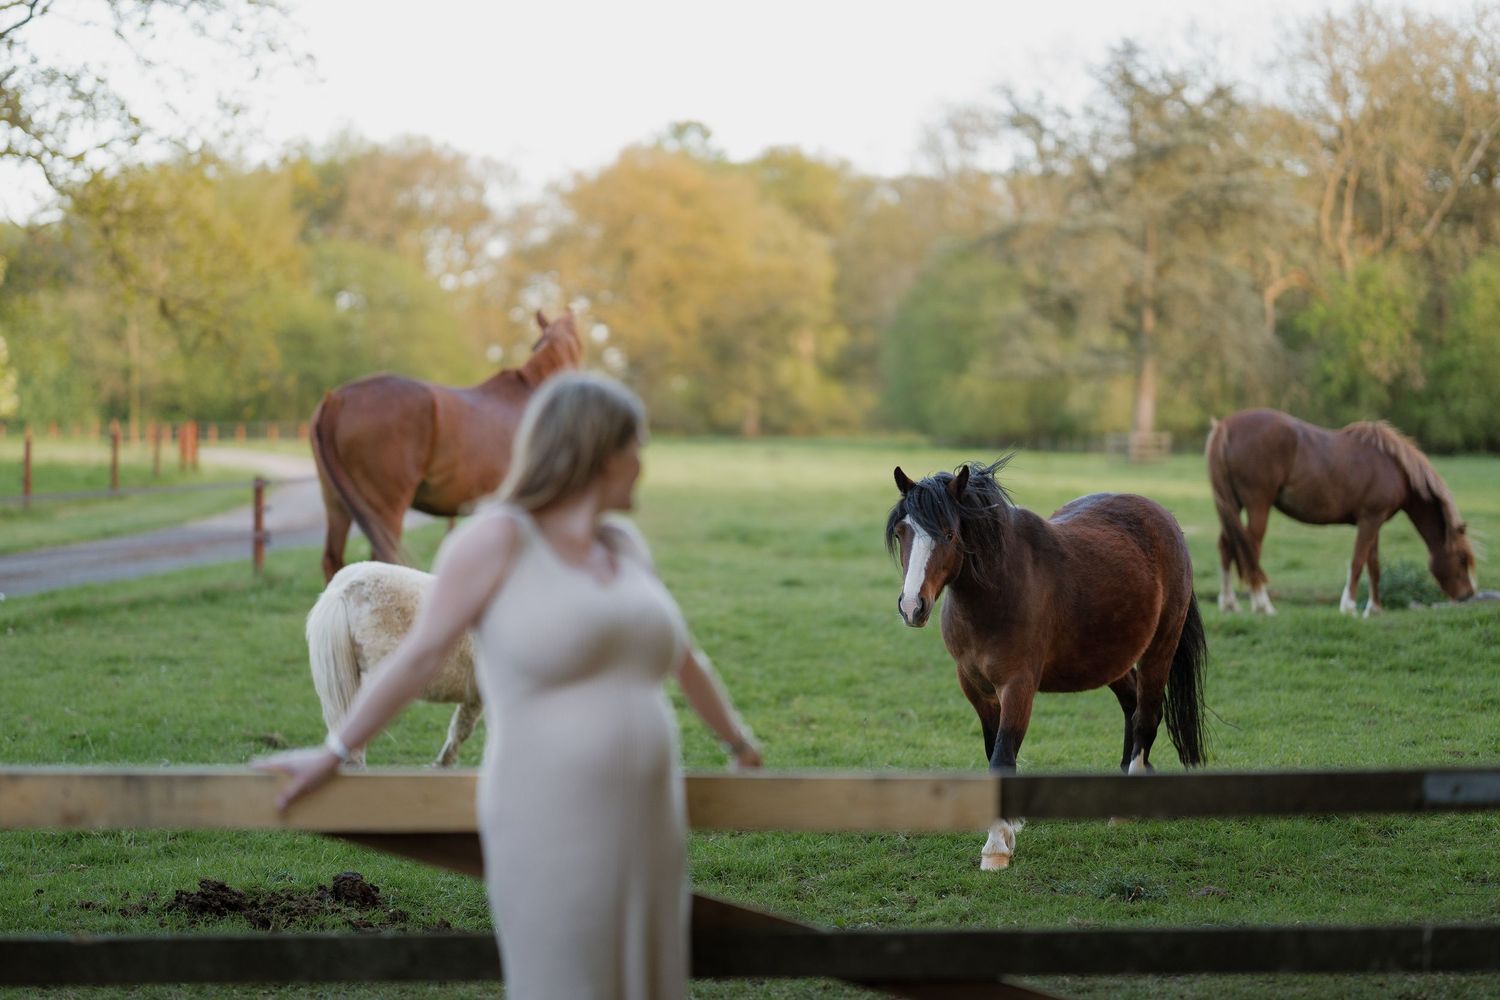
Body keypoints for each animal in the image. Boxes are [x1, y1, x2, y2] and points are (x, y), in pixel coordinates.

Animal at [887, 459, 1208, 871]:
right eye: (902, 532)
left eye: (948, 533)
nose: (912, 607)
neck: (999, 590)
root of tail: (1165, 518)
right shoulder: (976, 688)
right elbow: (993, 750)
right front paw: (1009, 827)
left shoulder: (1018, 686)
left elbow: (1003, 757)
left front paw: (996, 848)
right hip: (1110, 660)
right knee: (1132, 704)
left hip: (1160, 649)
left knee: (1146, 717)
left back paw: (1125, 807)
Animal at [1206, 408, 1478, 616]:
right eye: (1462, 560)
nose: (1468, 595)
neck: (1394, 467)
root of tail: (1225, 426)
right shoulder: (1369, 520)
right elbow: (1358, 561)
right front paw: (1349, 607)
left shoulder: (1375, 522)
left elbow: (1373, 564)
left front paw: (1375, 609)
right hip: (1257, 505)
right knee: (1251, 549)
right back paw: (1263, 604)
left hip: (1232, 505)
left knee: (1226, 546)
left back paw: (1229, 603)